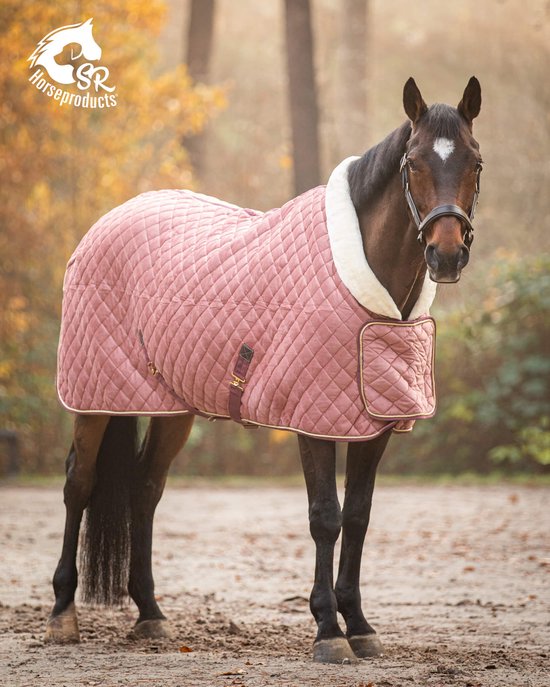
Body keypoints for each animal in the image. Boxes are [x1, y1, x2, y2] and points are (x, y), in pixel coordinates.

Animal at [45, 77, 482, 664]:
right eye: (412, 162)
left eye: (475, 161)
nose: (447, 254)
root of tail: (107, 221)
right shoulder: (311, 420)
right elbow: (326, 517)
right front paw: (328, 632)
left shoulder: (374, 424)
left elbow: (359, 517)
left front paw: (360, 626)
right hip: (93, 397)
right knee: (79, 484)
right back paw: (62, 614)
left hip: (171, 407)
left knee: (145, 488)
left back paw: (151, 615)